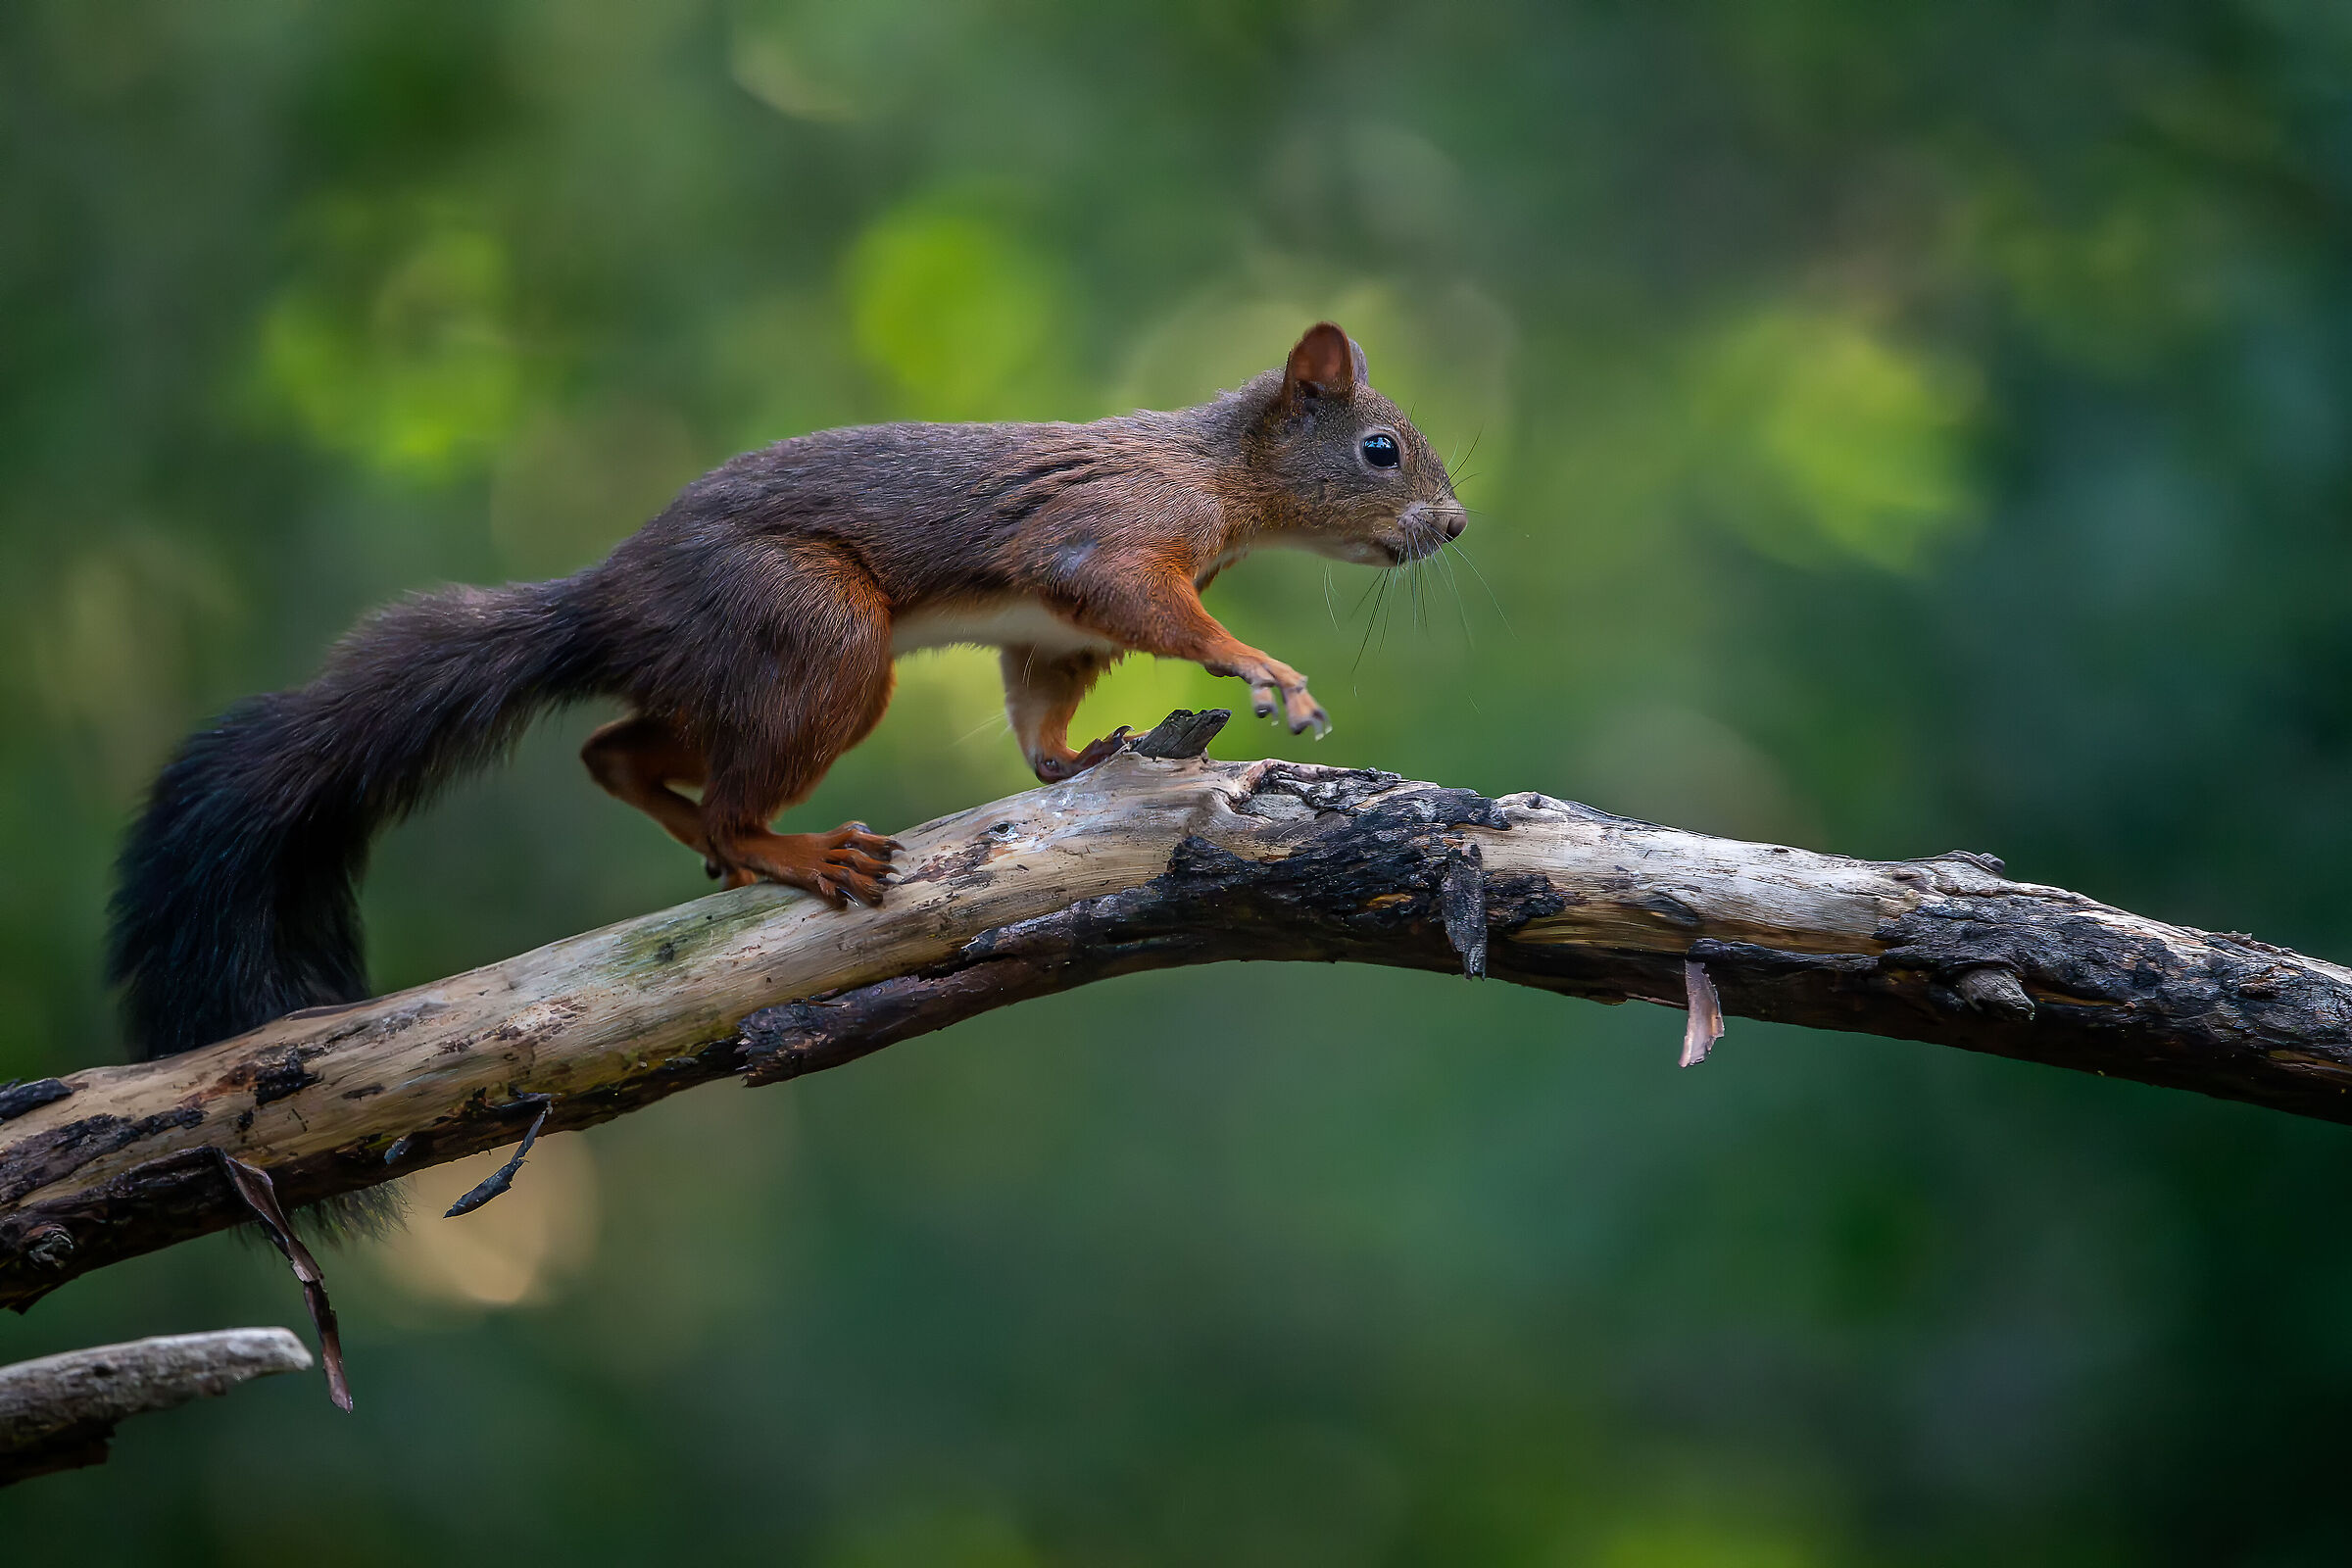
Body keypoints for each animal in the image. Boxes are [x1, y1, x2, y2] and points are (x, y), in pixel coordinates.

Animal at [107, 322, 1466, 1066]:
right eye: (1379, 450)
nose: (1455, 525)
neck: (1218, 470)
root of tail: (607, 598)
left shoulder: (1049, 631)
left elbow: (1040, 705)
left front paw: (1077, 764)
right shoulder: (1111, 537)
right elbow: (1155, 605)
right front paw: (1264, 671)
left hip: (734, 671)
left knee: (616, 749)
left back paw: (699, 830)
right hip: (823, 643)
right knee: (721, 790)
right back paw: (789, 850)